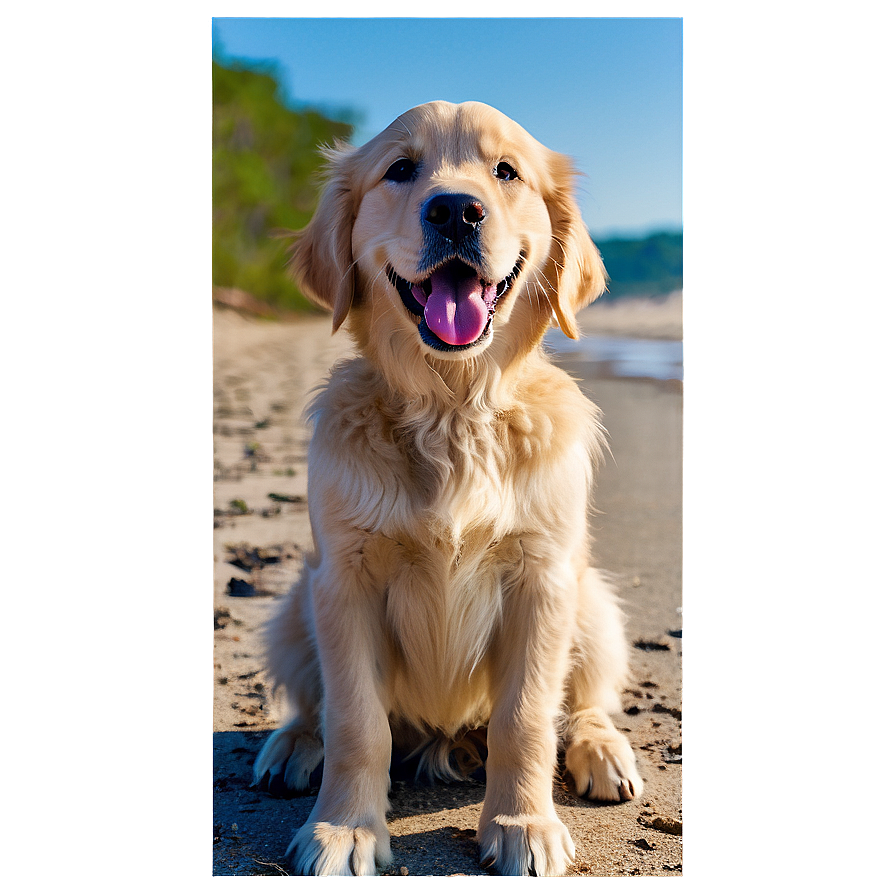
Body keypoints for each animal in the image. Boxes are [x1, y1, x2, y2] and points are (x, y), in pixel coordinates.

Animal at [252, 100, 644, 876]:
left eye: (507, 171)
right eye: (400, 169)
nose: (456, 210)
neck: (453, 410)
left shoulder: (542, 578)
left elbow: (526, 718)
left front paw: (523, 825)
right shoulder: (345, 579)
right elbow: (356, 720)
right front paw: (344, 830)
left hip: (591, 599)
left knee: (584, 703)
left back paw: (602, 751)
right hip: (294, 605)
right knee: (313, 706)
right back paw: (292, 746)